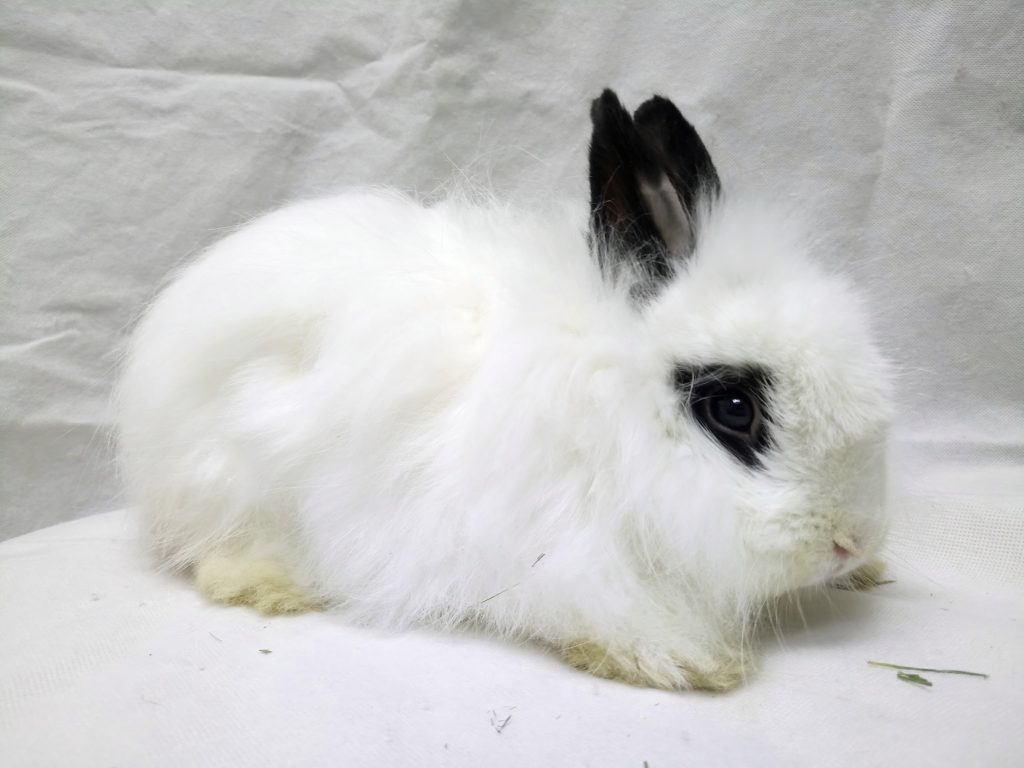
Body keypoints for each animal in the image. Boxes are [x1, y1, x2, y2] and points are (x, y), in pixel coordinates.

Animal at [117, 89, 893, 691]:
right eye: (734, 408)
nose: (851, 542)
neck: (608, 405)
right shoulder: (561, 550)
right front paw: (690, 661)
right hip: (234, 481)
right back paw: (273, 585)